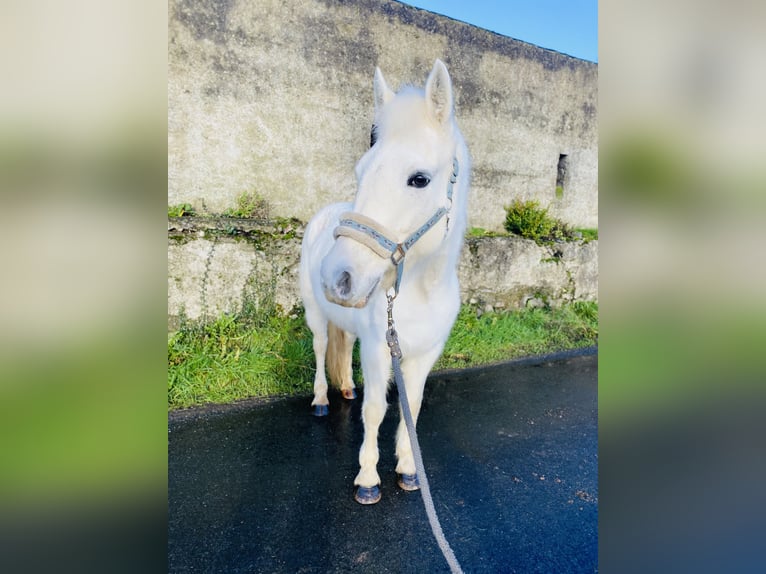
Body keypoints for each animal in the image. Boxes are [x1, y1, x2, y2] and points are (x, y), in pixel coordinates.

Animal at [302, 59, 472, 504]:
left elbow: (411, 405)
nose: (338, 276)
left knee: (342, 348)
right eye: (361, 171)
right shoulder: (380, 350)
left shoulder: (424, 353)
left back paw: (346, 388)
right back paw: (322, 399)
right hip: (314, 315)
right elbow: (375, 409)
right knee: (321, 347)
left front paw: (409, 471)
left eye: (419, 179)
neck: (421, 291)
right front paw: (367, 478)